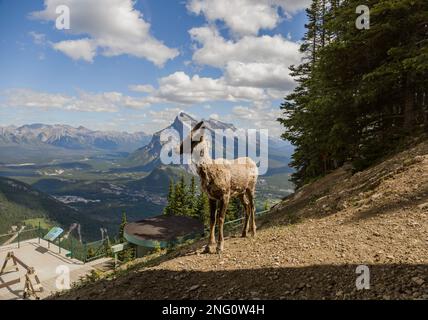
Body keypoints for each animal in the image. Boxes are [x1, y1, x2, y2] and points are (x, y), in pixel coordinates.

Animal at [178, 121, 258, 254]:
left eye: (191, 140)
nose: (179, 148)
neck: (210, 172)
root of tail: (254, 163)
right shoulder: (211, 197)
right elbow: (212, 219)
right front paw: (208, 246)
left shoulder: (225, 195)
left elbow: (221, 218)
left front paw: (220, 246)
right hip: (240, 193)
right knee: (246, 206)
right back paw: (243, 232)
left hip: (251, 187)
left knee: (252, 206)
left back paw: (253, 231)